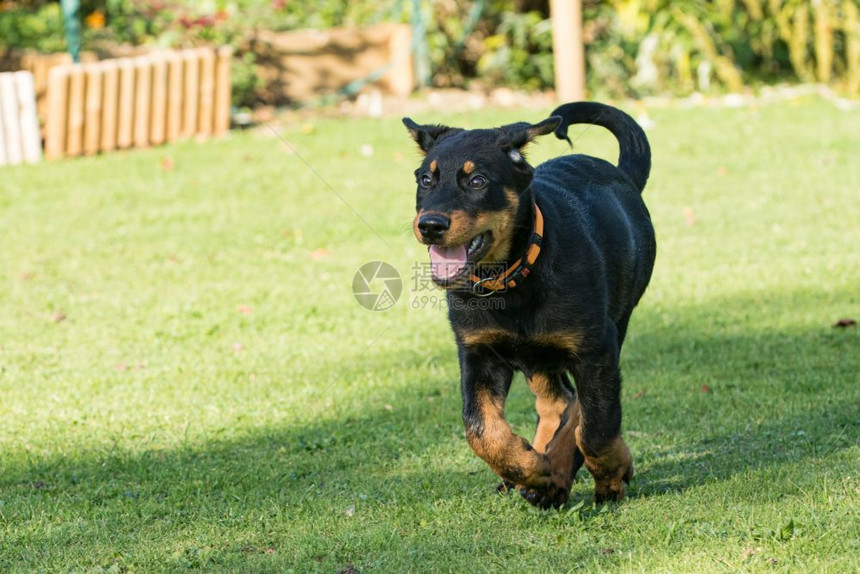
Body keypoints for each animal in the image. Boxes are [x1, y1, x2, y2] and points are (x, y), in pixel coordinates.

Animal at [406, 102, 656, 508]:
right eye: (426, 180)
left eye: (478, 181)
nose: (430, 225)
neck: (511, 280)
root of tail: (623, 176)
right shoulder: (477, 352)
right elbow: (479, 428)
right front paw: (529, 468)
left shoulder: (596, 349)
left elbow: (596, 426)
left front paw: (610, 475)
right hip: (537, 355)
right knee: (558, 401)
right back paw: (539, 473)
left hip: (614, 322)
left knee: (577, 406)